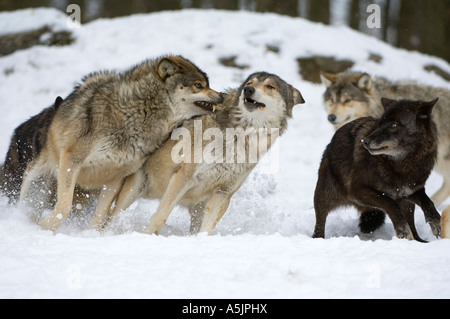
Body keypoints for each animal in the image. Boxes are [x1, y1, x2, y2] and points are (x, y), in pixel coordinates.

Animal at [19, 54, 223, 230]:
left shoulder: (116, 176)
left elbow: (99, 216)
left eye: (207, 85)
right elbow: (64, 207)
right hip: (35, 180)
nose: (221, 96)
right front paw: (43, 228)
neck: (139, 114)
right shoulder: (72, 160)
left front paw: (91, 235)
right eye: (199, 85)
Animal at [101, 72, 306, 235]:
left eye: (270, 86)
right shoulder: (184, 177)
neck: (240, 136)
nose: (248, 90)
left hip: (195, 207)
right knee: (111, 217)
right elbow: (161, 216)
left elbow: (207, 228)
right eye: (250, 82)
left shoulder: (223, 193)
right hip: (134, 190)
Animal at [312, 98, 440, 242]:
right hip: (324, 196)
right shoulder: (357, 190)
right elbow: (390, 203)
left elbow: (428, 202)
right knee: (319, 223)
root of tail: (331, 143)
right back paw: (318, 238)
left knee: (412, 225)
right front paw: (401, 229)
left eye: (394, 124)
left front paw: (435, 222)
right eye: (380, 123)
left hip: (407, 205)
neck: (402, 165)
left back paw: (419, 241)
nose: (365, 141)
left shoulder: (409, 191)